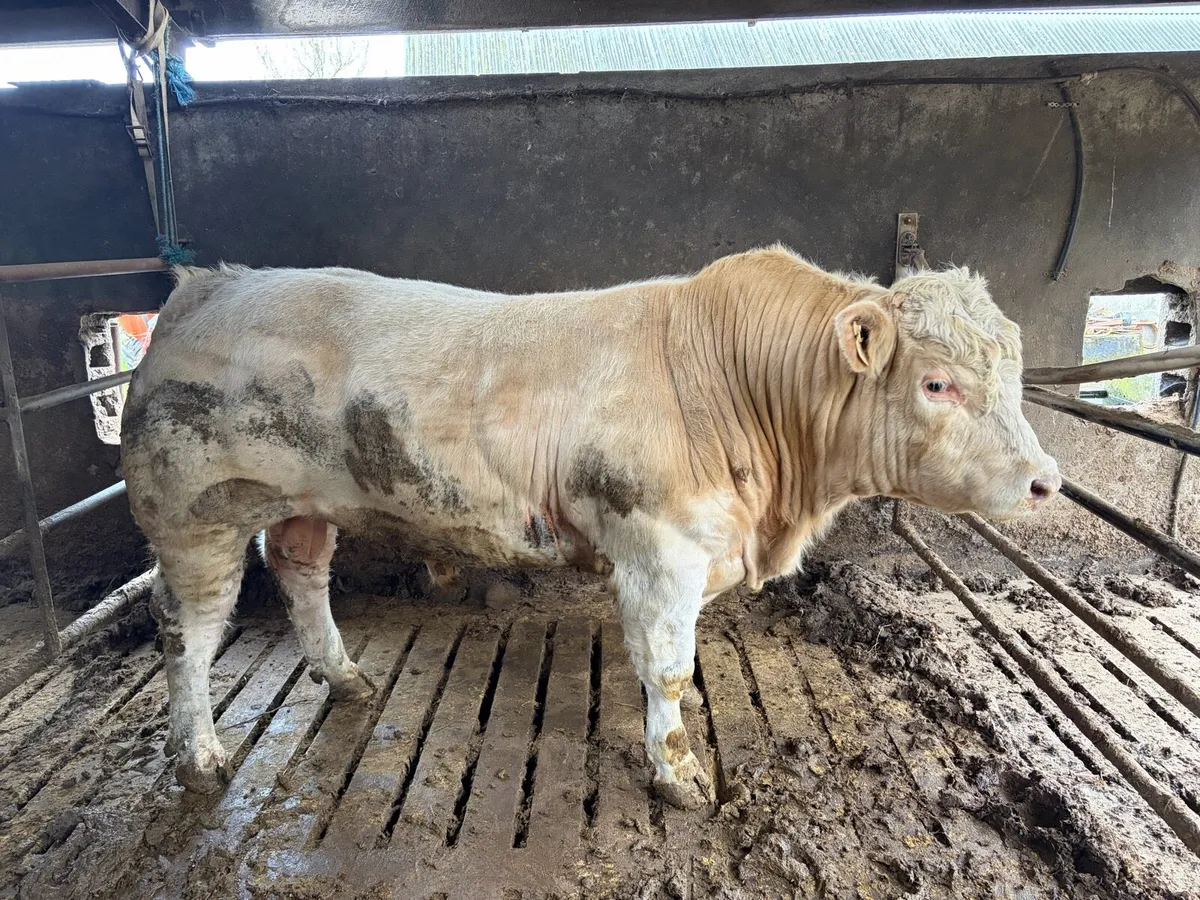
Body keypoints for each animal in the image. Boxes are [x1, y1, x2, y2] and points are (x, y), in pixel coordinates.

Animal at [120, 246, 1060, 809]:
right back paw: (198, 755)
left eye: (1012, 372)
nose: (1047, 481)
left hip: (306, 503)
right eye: (936, 383)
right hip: (194, 514)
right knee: (188, 631)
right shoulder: (659, 550)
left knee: (301, 569)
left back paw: (345, 676)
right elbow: (667, 666)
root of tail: (210, 284)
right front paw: (679, 771)